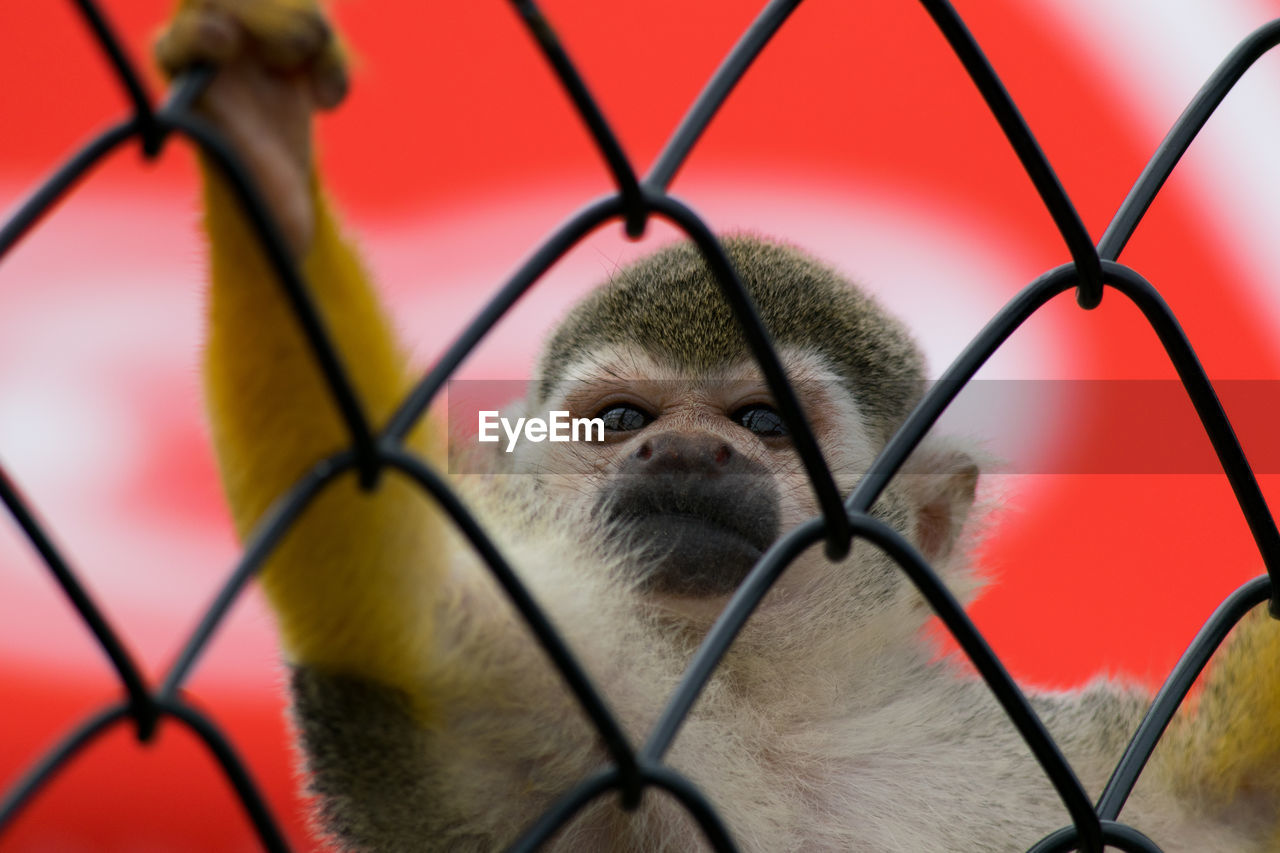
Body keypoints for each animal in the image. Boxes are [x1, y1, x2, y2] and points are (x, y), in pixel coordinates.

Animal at [157, 1, 1280, 850]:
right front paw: (264, 155)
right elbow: (400, 589)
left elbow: (1240, 803)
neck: (775, 697)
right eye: (620, 420)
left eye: (761, 420)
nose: (688, 451)